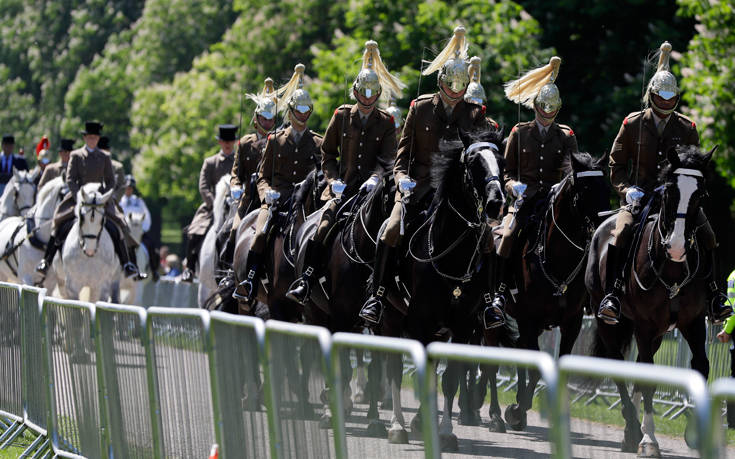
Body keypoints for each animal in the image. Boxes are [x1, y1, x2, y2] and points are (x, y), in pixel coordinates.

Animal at [588, 146, 716, 454]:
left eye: (701, 194)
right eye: (669, 191)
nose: (678, 246)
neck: (672, 268)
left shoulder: (693, 322)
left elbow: (701, 367)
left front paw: (696, 433)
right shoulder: (645, 326)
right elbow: (647, 381)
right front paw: (649, 440)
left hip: (657, 333)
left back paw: (630, 430)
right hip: (608, 321)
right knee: (619, 366)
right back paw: (633, 430)